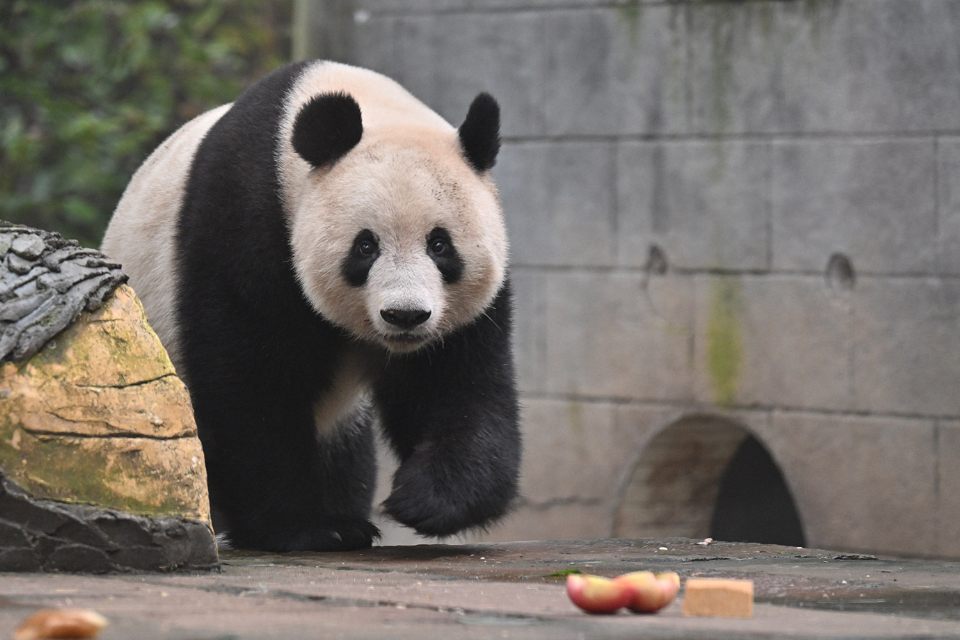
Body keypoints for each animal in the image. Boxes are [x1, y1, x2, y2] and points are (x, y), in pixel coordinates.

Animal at [101, 58, 520, 552]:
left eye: (440, 245)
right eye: (365, 247)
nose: (405, 316)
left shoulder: (462, 314)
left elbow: (454, 381)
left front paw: (425, 500)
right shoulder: (244, 223)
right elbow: (250, 379)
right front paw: (306, 526)